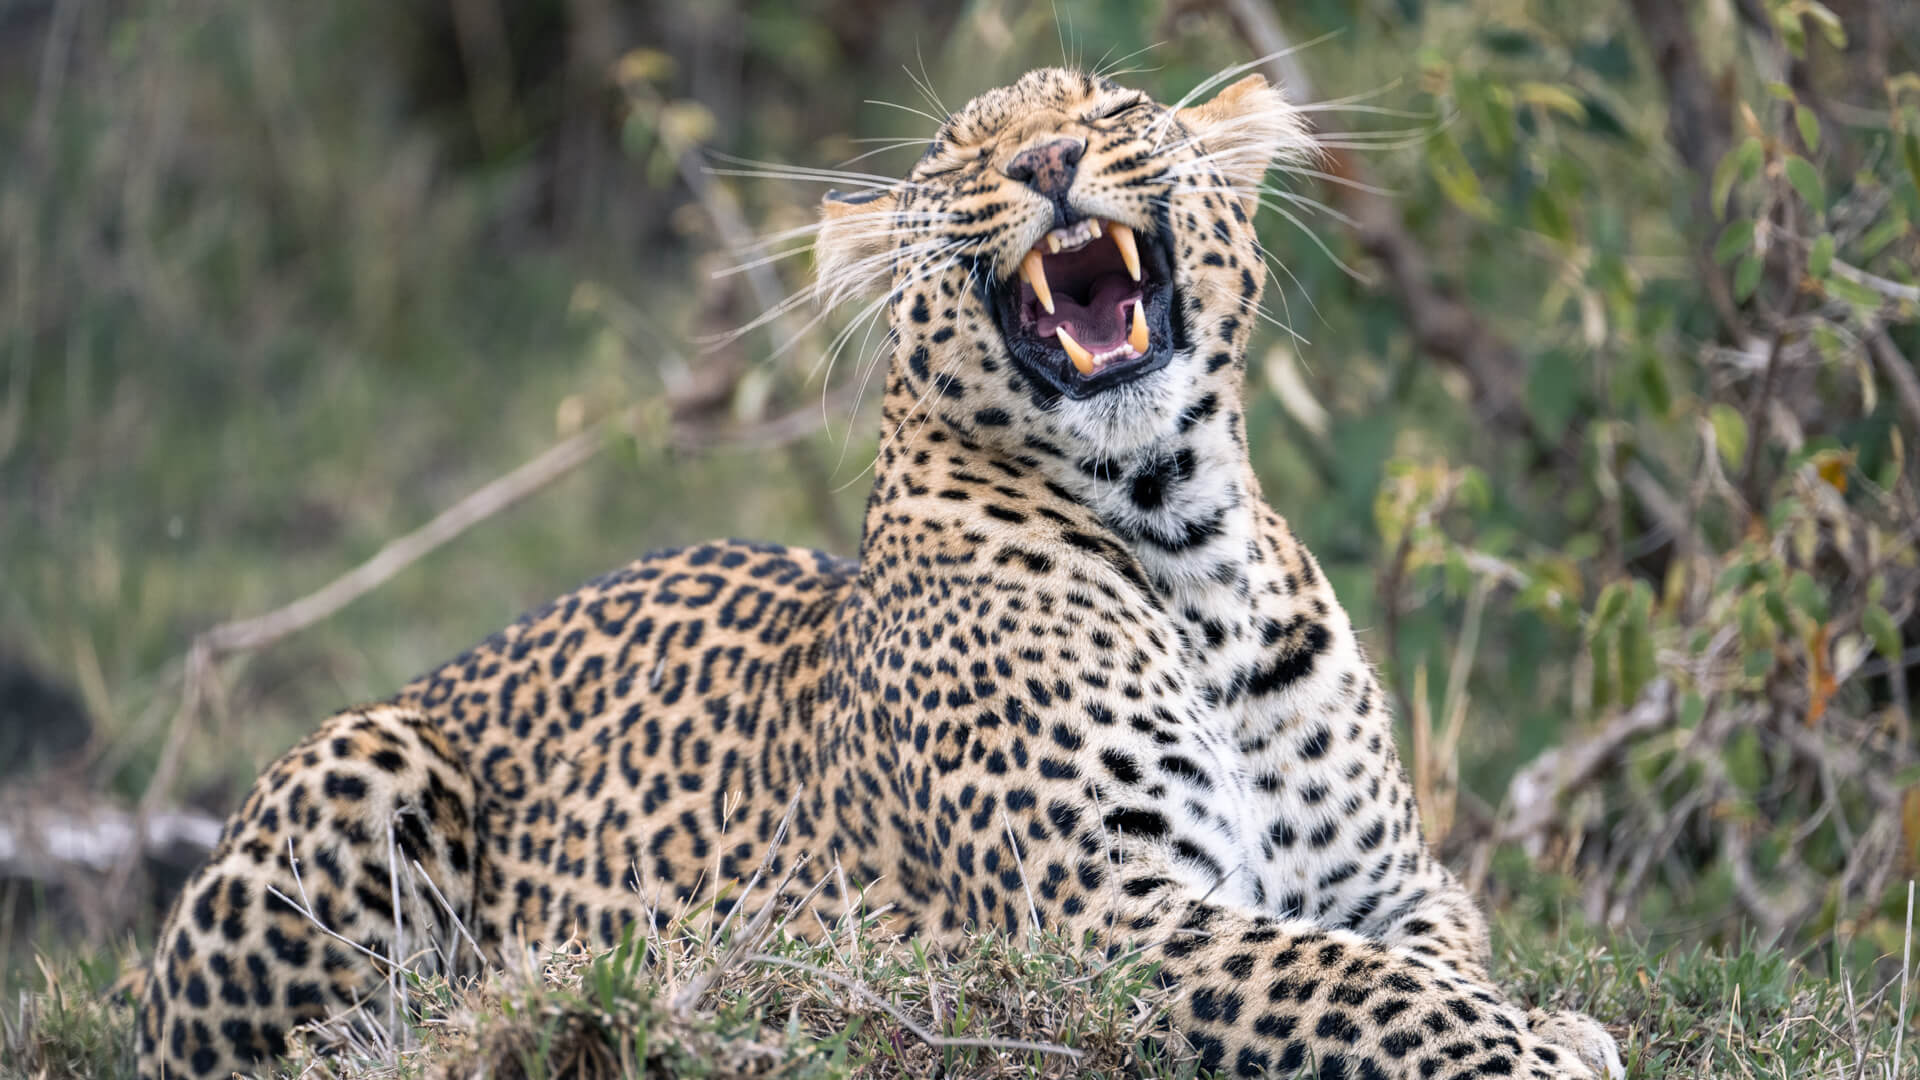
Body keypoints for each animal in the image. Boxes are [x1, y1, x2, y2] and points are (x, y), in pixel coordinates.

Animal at [137, 66, 1626, 1079]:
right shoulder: (1102, 913)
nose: (1049, 155)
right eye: (960, 159)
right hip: (358, 762)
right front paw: (1543, 1055)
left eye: (1115, 106)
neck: (1183, 543)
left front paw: (1547, 1024)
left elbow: (1418, 962)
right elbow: (1360, 990)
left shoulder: (1394, 883)